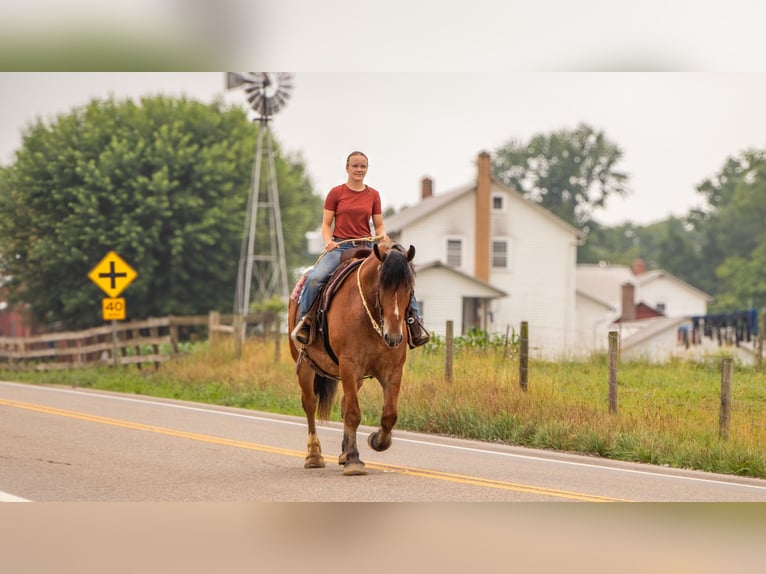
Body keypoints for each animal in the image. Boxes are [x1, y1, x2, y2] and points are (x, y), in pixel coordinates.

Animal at [290, 242, 420, 476]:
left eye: (410, 289)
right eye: (381, 288)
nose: (394, 337)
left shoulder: (393, 370)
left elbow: (389, 415)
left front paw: (376, 441)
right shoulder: (349, 366)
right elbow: (353, 413)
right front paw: (354, 461)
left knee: (342, 404)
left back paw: (342, 453)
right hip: (305, 365)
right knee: (310, 404)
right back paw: (314, 456)